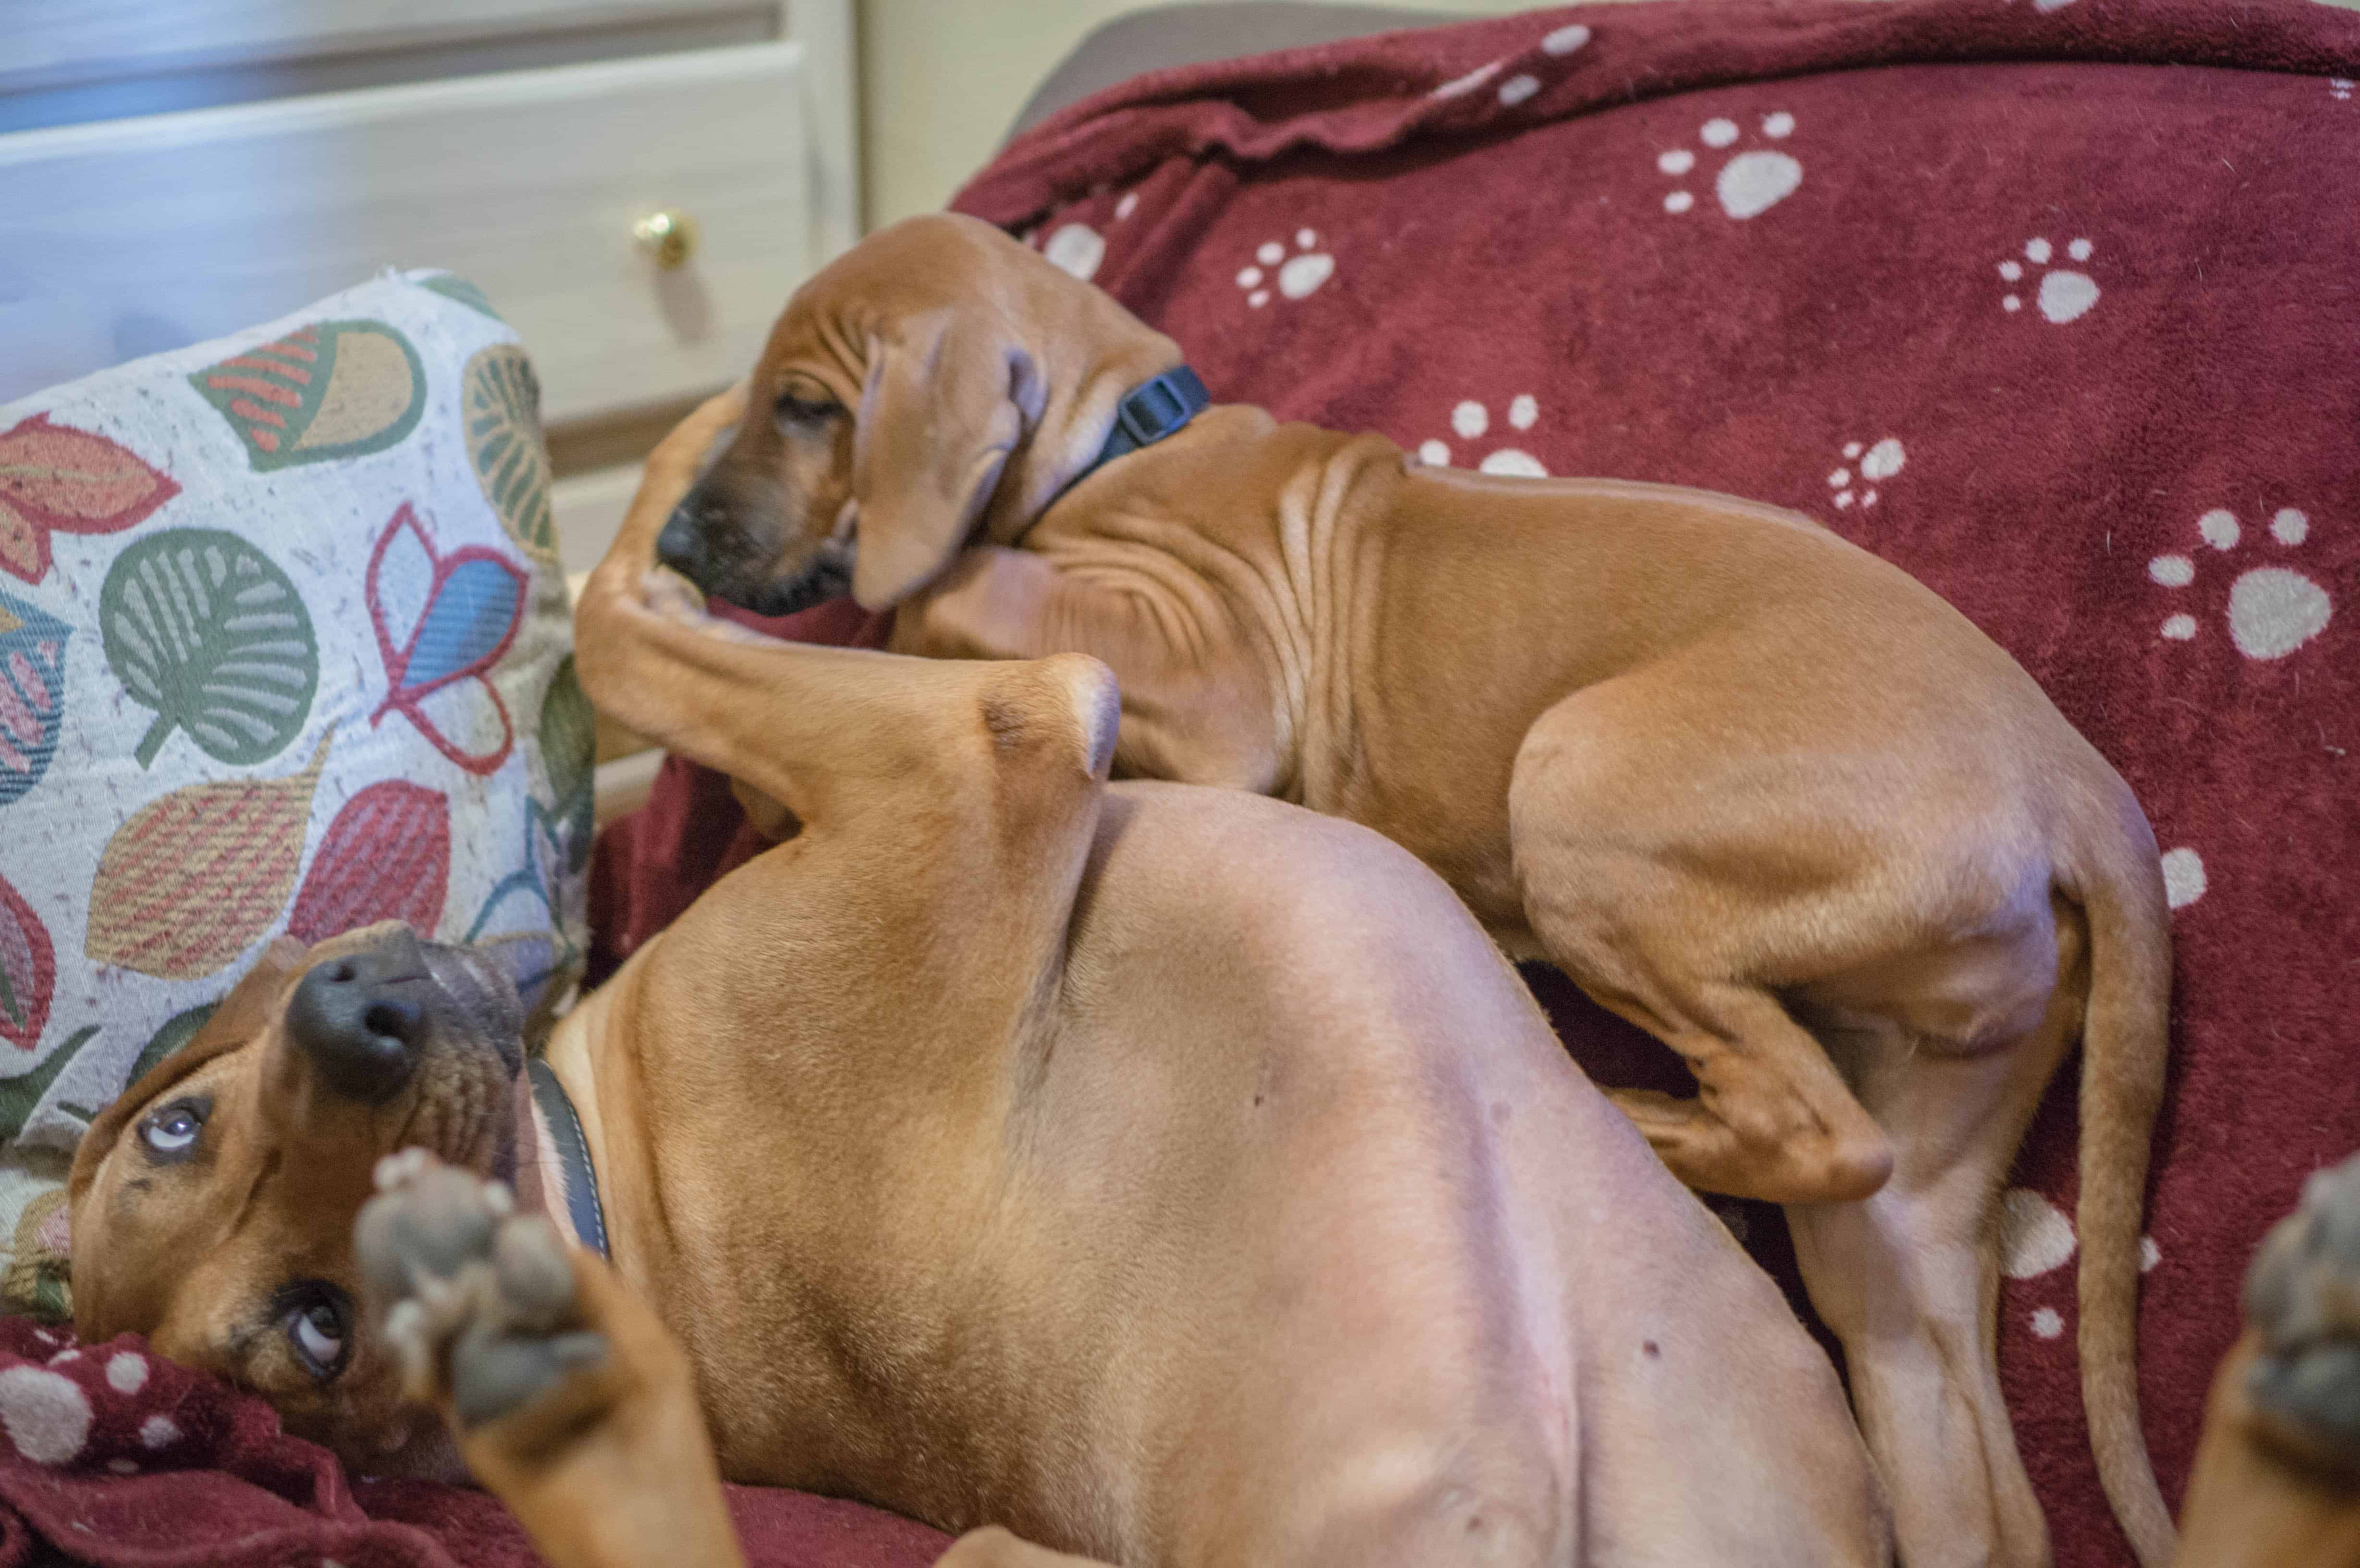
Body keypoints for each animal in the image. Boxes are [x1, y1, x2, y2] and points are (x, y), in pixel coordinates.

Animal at [64, 390, 1888, 1568]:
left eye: (179, 1124)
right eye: (323, 1325)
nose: (355, 1015)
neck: (594, 1177)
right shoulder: (970, 747)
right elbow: (629, 627)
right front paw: (691, 454)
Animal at [661, 211, 2171, 1568]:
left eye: (805, 406)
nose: (673, 545)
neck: (1120, 435)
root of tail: (2070, 777)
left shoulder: (1214, 666)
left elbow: (972, 581)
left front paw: (910, 605)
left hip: (1576, 783)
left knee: (1812, 1125)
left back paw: (1616, 1106)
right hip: (1921, 1185)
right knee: (1964, 1450)